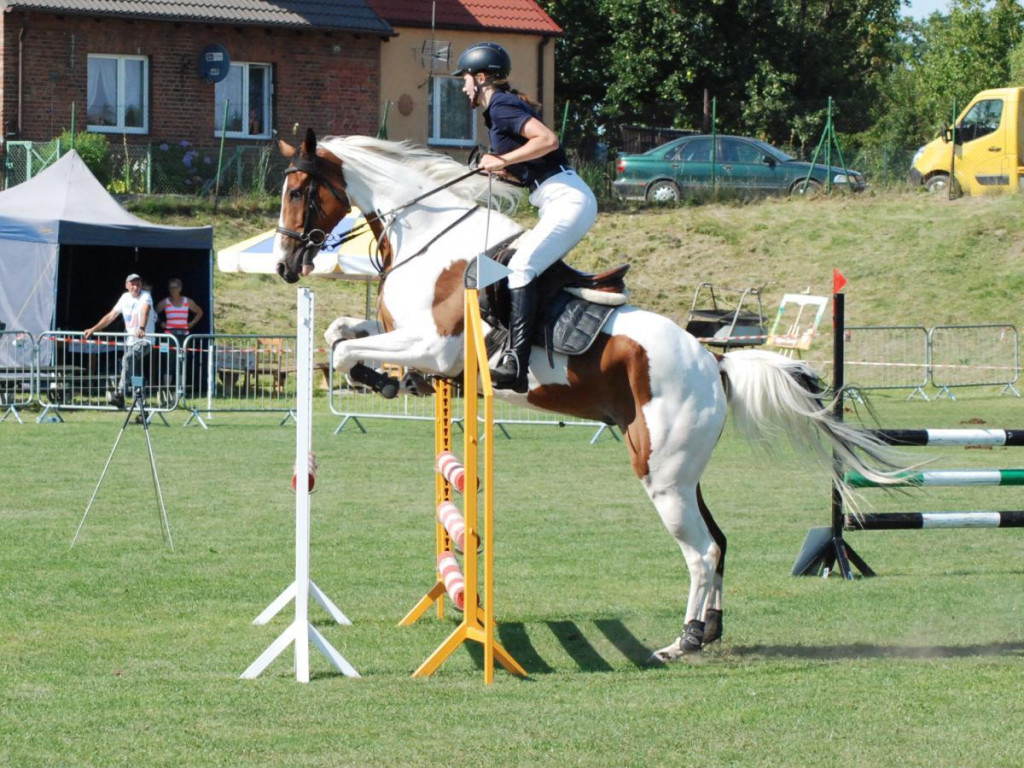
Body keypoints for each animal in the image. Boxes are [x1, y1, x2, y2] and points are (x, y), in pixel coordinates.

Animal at [270, 128, 897, 663]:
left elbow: (347, 352)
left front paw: (375, 379)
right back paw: (711, 629)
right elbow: (340, 334)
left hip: (660, 472)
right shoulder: (408, 340)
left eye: (298, 191)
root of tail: (714, 363)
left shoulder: (433, 346)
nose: (284, 265)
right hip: (682, 472)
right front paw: (385, 379)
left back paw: (684, 640)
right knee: (717, 541)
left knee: (700, 552)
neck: (429, 239)